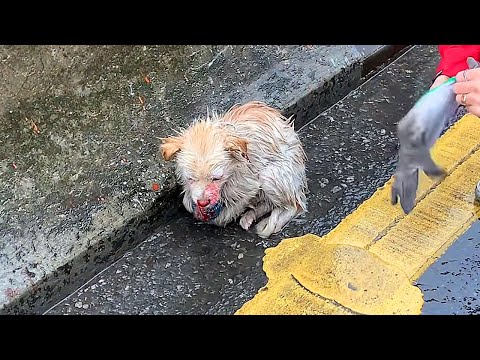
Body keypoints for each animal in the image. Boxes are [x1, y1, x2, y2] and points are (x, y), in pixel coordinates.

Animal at [161, 100, 310, 239]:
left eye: (217, 178)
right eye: (190, 179)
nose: (203, 203)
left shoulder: (250, 185)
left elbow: (233, 207)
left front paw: (220, 216)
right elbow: (187, 201)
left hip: (271, 176)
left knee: (294, 206)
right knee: (269, 204)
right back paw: (250, 215)